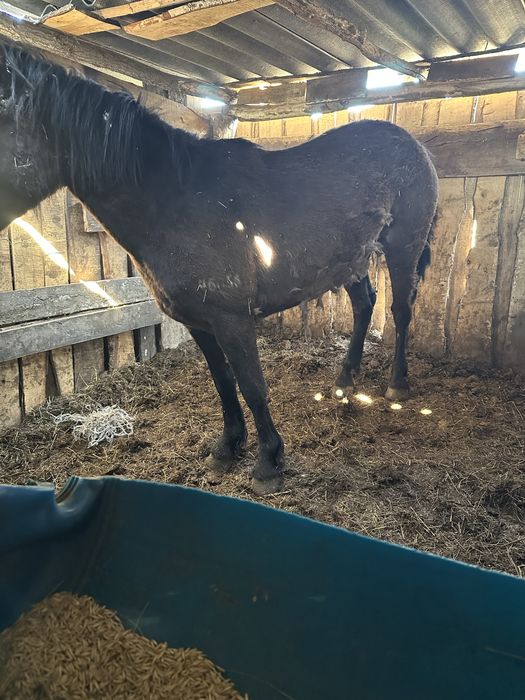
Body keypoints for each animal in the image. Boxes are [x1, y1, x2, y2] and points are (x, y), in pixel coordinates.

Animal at [0, 43, 438, 494]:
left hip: (403, 245)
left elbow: (252, 385)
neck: (177, 201)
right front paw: (227, 447)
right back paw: (344, 381)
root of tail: (414, 145)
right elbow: (224, 382)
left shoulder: (233, 319)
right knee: (365, 305)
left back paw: (397, 385)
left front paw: (268, 463)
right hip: (351, 258)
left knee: (400, 309)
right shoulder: (200, 321)